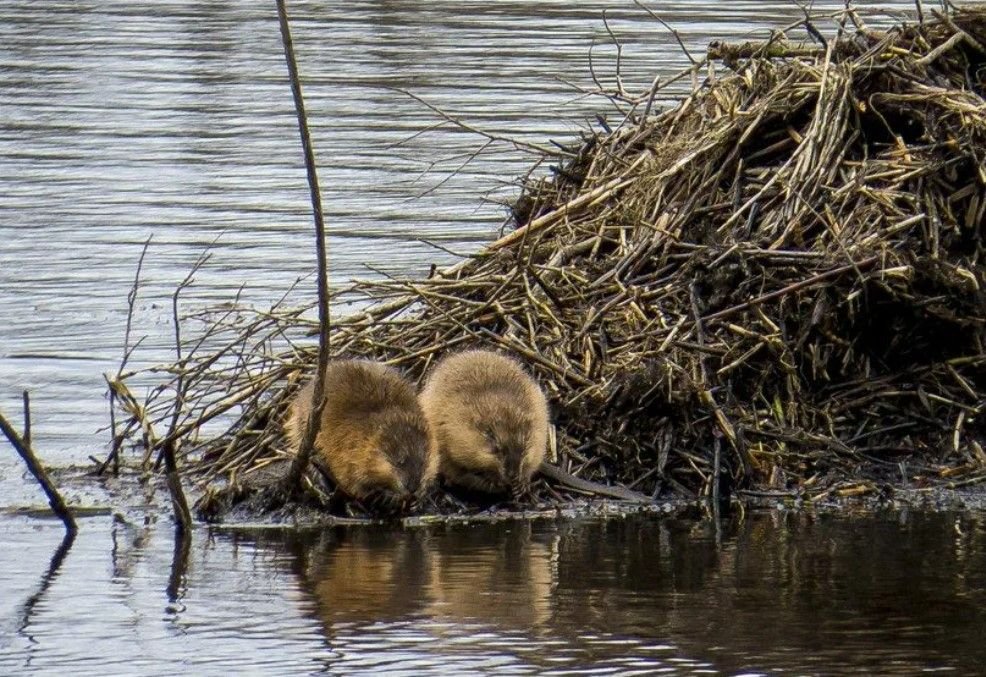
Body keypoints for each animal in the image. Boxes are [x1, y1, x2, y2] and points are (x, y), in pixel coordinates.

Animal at [284, 360, 438, 512]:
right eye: (399, 461)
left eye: (423, 461)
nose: (412, 488)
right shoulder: (345, 446)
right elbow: (353, 482)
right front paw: (386, 495)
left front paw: (419, 497)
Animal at [418, 352, 548, 494]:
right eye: (497, 449)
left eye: (524, 448)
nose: (512, 475)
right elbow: (459, 471)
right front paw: (494, 482)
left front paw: (521, 484)